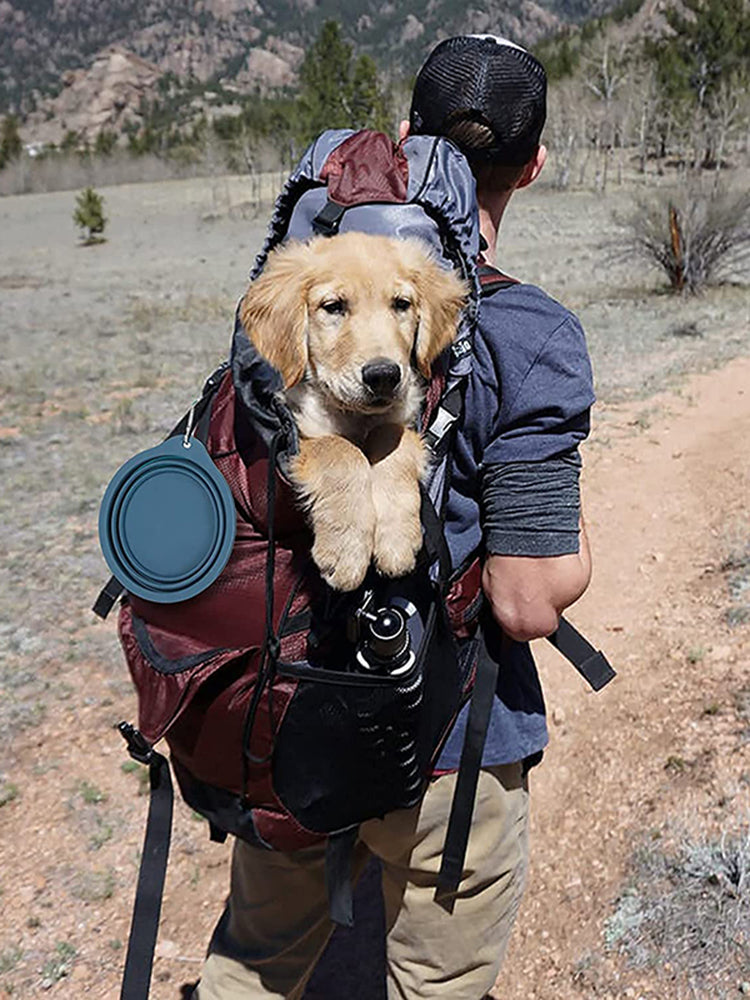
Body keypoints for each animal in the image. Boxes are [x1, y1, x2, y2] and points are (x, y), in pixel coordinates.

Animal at [241, 232, 468, 592]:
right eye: (333, 307)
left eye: (401, 304)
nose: (384, 375)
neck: (356, 416)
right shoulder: (300, 430)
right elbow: (341, 451)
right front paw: (346, 552)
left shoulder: (402, 418)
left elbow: (392, 440)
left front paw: (395, 540)